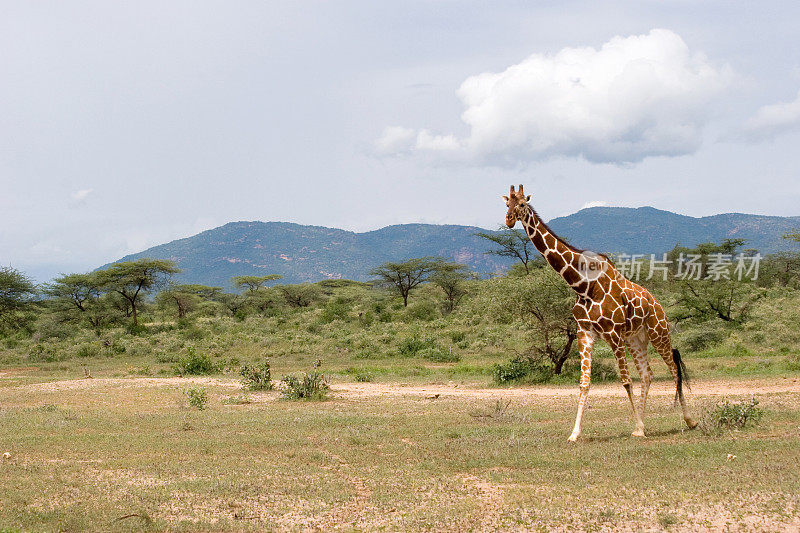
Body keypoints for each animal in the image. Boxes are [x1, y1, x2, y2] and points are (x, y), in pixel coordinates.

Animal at [504, 185, 696, 438]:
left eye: (522, 204)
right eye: (506, 203)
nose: (508, 220)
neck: (583, 285)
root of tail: (657, 303)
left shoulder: (613, 333)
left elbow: (625, 381)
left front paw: (637, 425)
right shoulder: (585, 333)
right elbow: (584, 383)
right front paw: (574, 433)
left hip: (658, 332)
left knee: (673, 369)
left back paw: (689, 420)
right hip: (636, 339)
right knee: (647, 374)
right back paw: (642, 427)